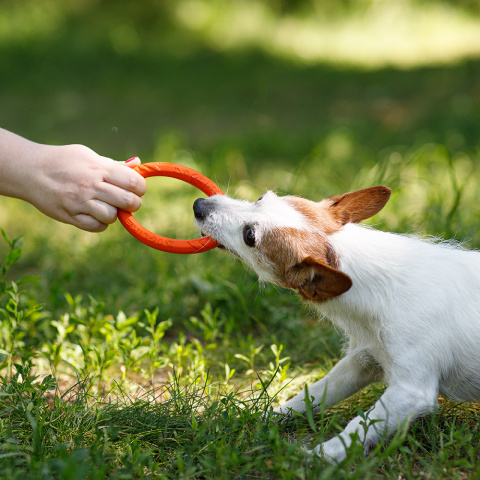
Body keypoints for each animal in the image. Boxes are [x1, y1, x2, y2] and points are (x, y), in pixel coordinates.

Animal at [193, 188, 480, 464]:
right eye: (260, 198)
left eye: (250, 236)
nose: (198, 205)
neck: (384, 283)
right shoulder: (360, 363)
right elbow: (312, 394)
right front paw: (264, 417)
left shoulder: (411, 391)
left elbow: (360, 425)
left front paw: (323, 455)